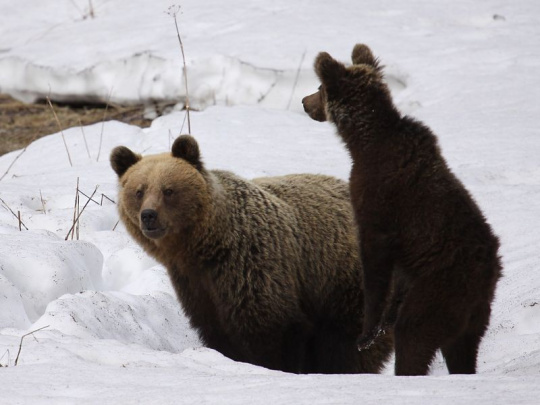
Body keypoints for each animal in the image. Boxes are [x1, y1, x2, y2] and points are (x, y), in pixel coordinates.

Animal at [304, 44, 502, 376]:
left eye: (320, 88)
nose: (305, 102)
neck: (363, 144)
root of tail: (488, 276)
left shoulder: (376, 201)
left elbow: (375, 265)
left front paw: (366, 334)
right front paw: (383, 321)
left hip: (440, 291)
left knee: (414, 335)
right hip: (473, 317)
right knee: (462, 350)